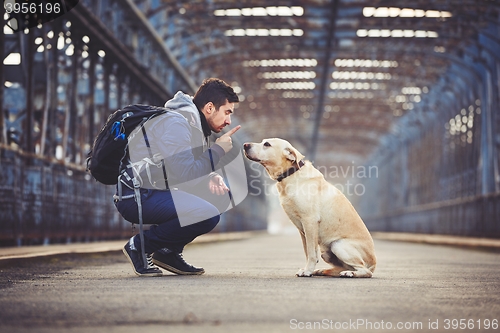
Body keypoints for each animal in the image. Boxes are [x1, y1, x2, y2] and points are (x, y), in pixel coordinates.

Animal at [242, 137, 376, 278]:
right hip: (326, 252)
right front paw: (309, 269)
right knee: (342, 267)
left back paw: (349, 273)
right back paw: (323, 271)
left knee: (364, 270)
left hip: (338, 245)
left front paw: (307, 271)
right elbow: (307, 251)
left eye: (267, 144)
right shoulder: (302, 229)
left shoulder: (309, 221)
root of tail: (374, 263)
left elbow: (311, 252)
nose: (245, 145)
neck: (291, 175)